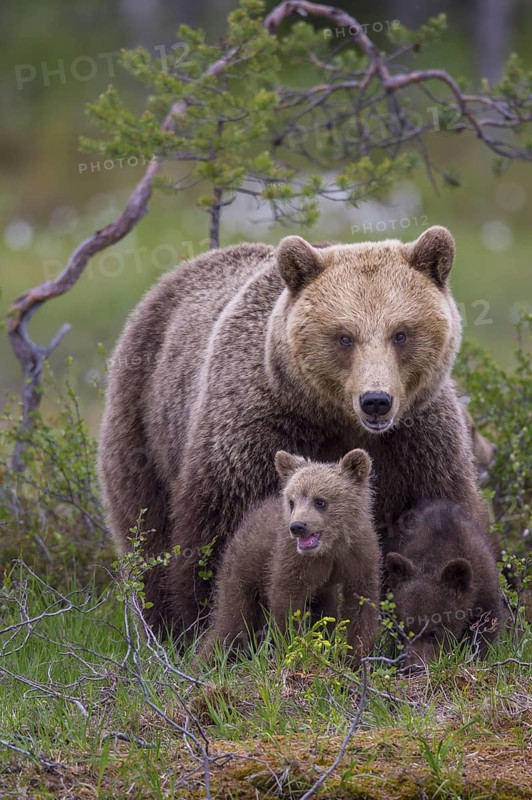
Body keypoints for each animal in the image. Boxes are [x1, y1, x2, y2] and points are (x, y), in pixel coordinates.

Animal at [98, 226, 487, 637]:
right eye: (344, 336)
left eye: (401, 333)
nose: (376, 401)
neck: (337, 419)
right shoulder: (258, 432)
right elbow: (219, 535)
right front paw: (204, 617)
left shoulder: (417, 441)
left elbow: (437, 516)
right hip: (141, 420)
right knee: (147, 530)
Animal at [201, 448, 381, 661]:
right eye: (292, 501)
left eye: (320, 501)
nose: (297, 526)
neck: (331, 547)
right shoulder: (292, 559)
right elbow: (286, 604)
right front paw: (295, 647)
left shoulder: (360, 557)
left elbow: (361, 604)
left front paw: (356, 656)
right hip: (243, 569)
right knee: (232, 620)